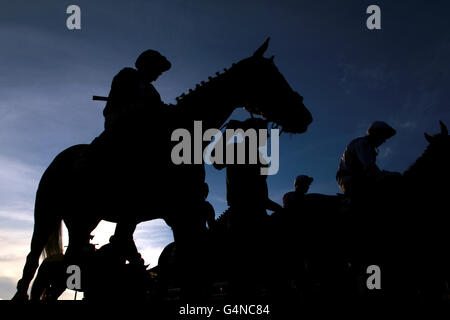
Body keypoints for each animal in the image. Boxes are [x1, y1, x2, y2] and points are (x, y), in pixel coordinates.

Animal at [12, 38, 312, 302]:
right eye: (271, 77)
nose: (305, 116)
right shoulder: (157, 214)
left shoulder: (184, 215)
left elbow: (194, 276)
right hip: (46, 215)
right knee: (31, 264)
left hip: (84, 220)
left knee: (70, 264)